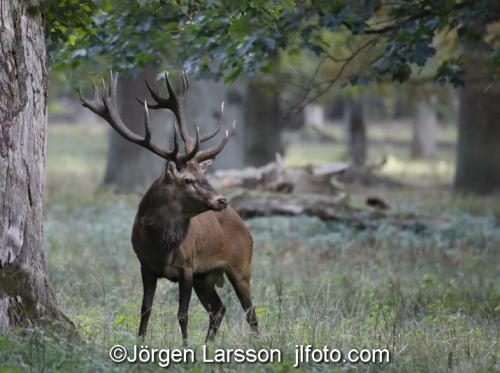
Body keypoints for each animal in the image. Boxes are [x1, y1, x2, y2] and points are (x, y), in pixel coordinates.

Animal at [79, 72, 258, 342]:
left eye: (204, 175)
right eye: (188, 180)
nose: (222, 200)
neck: (160, 245)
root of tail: (246, 228)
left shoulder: (187, 266)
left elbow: (182, 314)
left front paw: (185, 347)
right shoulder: (146, 265)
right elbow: (145, 310)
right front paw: (141, 341)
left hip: (240, 266)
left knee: (250, 313)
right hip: (205, 277)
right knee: (219, 309)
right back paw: (208, 345)